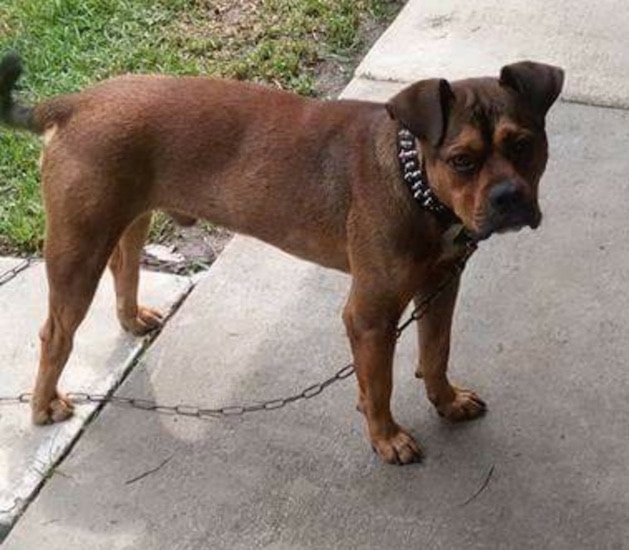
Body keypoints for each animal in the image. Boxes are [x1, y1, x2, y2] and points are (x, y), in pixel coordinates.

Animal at [0, 54, 560, 464]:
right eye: (462, 161)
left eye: (524, 145)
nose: (509, 197)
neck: (416, 181)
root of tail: (73, 103)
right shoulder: (370, 315)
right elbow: (380, 384)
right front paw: (386, 437)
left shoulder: (441, 287)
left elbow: (435, 352)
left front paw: (445, 400)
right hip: (77, 248)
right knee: (56, 333)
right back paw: (44, 405)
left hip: (129, 218)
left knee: (126, 264)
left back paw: (132, 317)